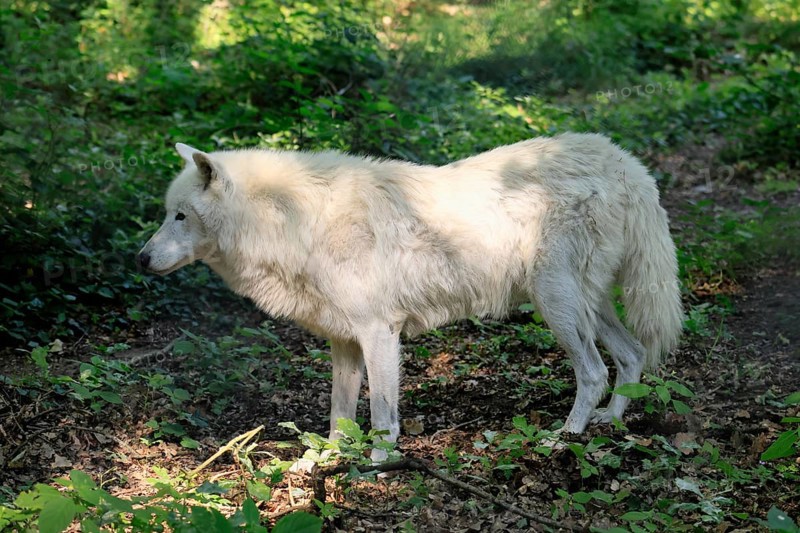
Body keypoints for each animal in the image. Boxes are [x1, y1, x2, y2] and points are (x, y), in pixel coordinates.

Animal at [138, 134, 683, 462]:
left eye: (180, 216)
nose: (141, 259)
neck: (296, 222)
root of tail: (624, 161)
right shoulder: (344, 341)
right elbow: (339, 415)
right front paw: (327, 460)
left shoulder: (380, 332)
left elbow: (382, 416)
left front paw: (378, 467)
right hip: (586, 304)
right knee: (632, 355)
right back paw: (610, 421)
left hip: (557, 306)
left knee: (593, 371)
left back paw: (565, 436)